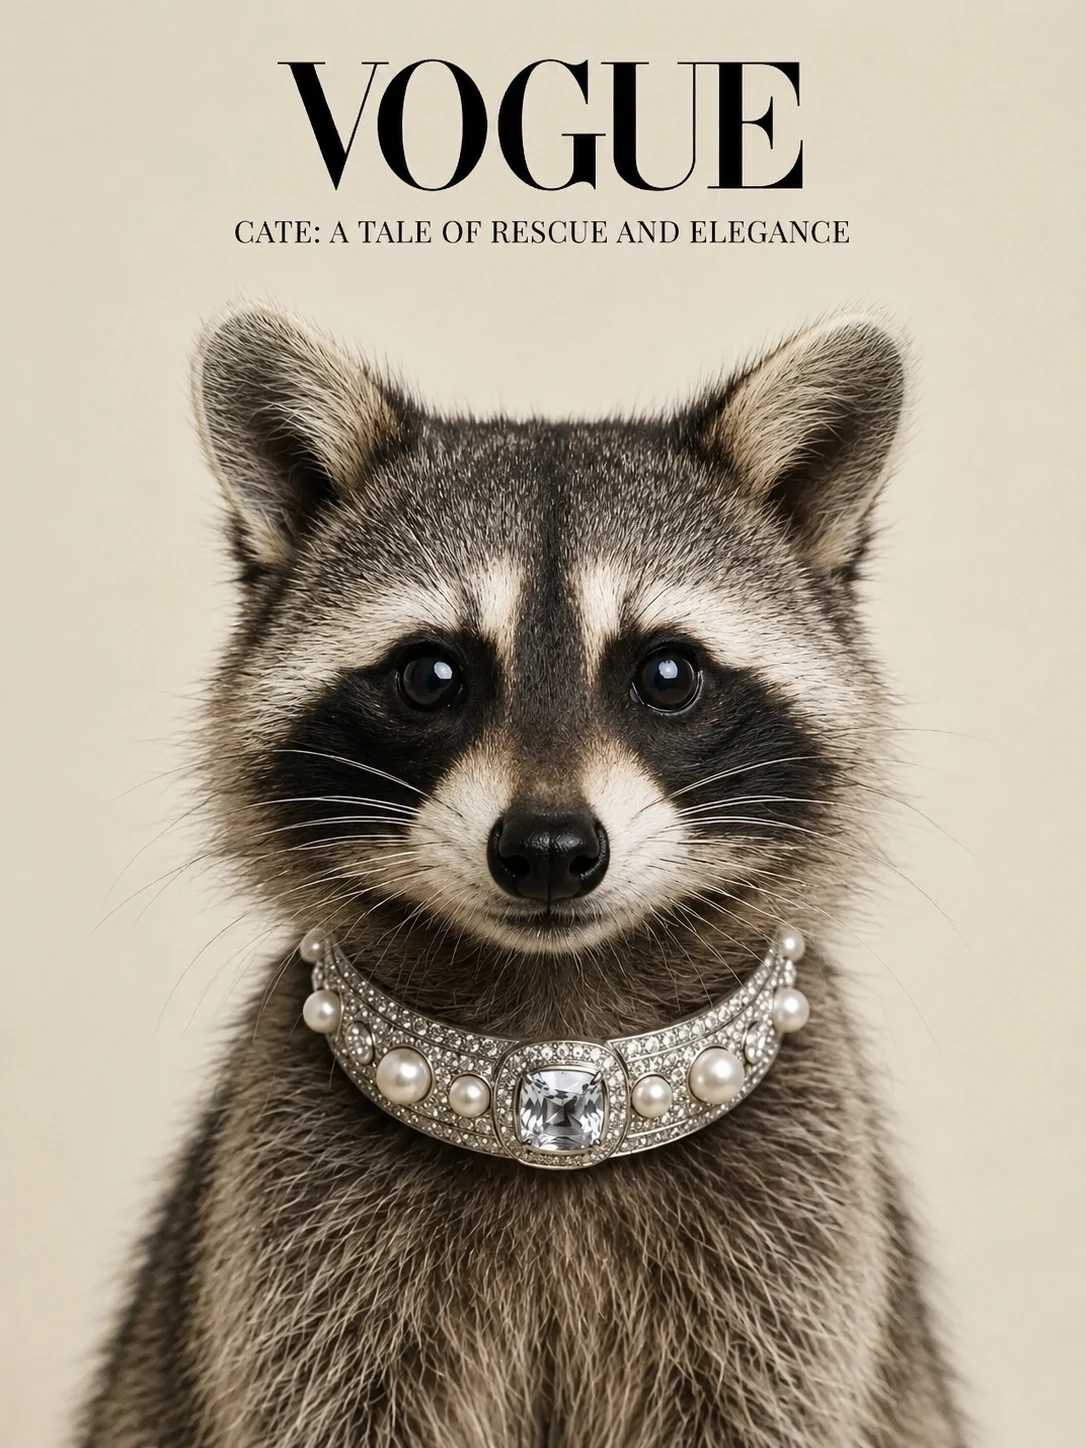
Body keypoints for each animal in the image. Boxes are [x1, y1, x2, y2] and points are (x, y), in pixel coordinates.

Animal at [79, 307, 965, 1447]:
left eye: (667, 674)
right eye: (430, 674)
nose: (548, 846)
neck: (556, 1015)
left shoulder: (798, 1235)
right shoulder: (293, 1233)